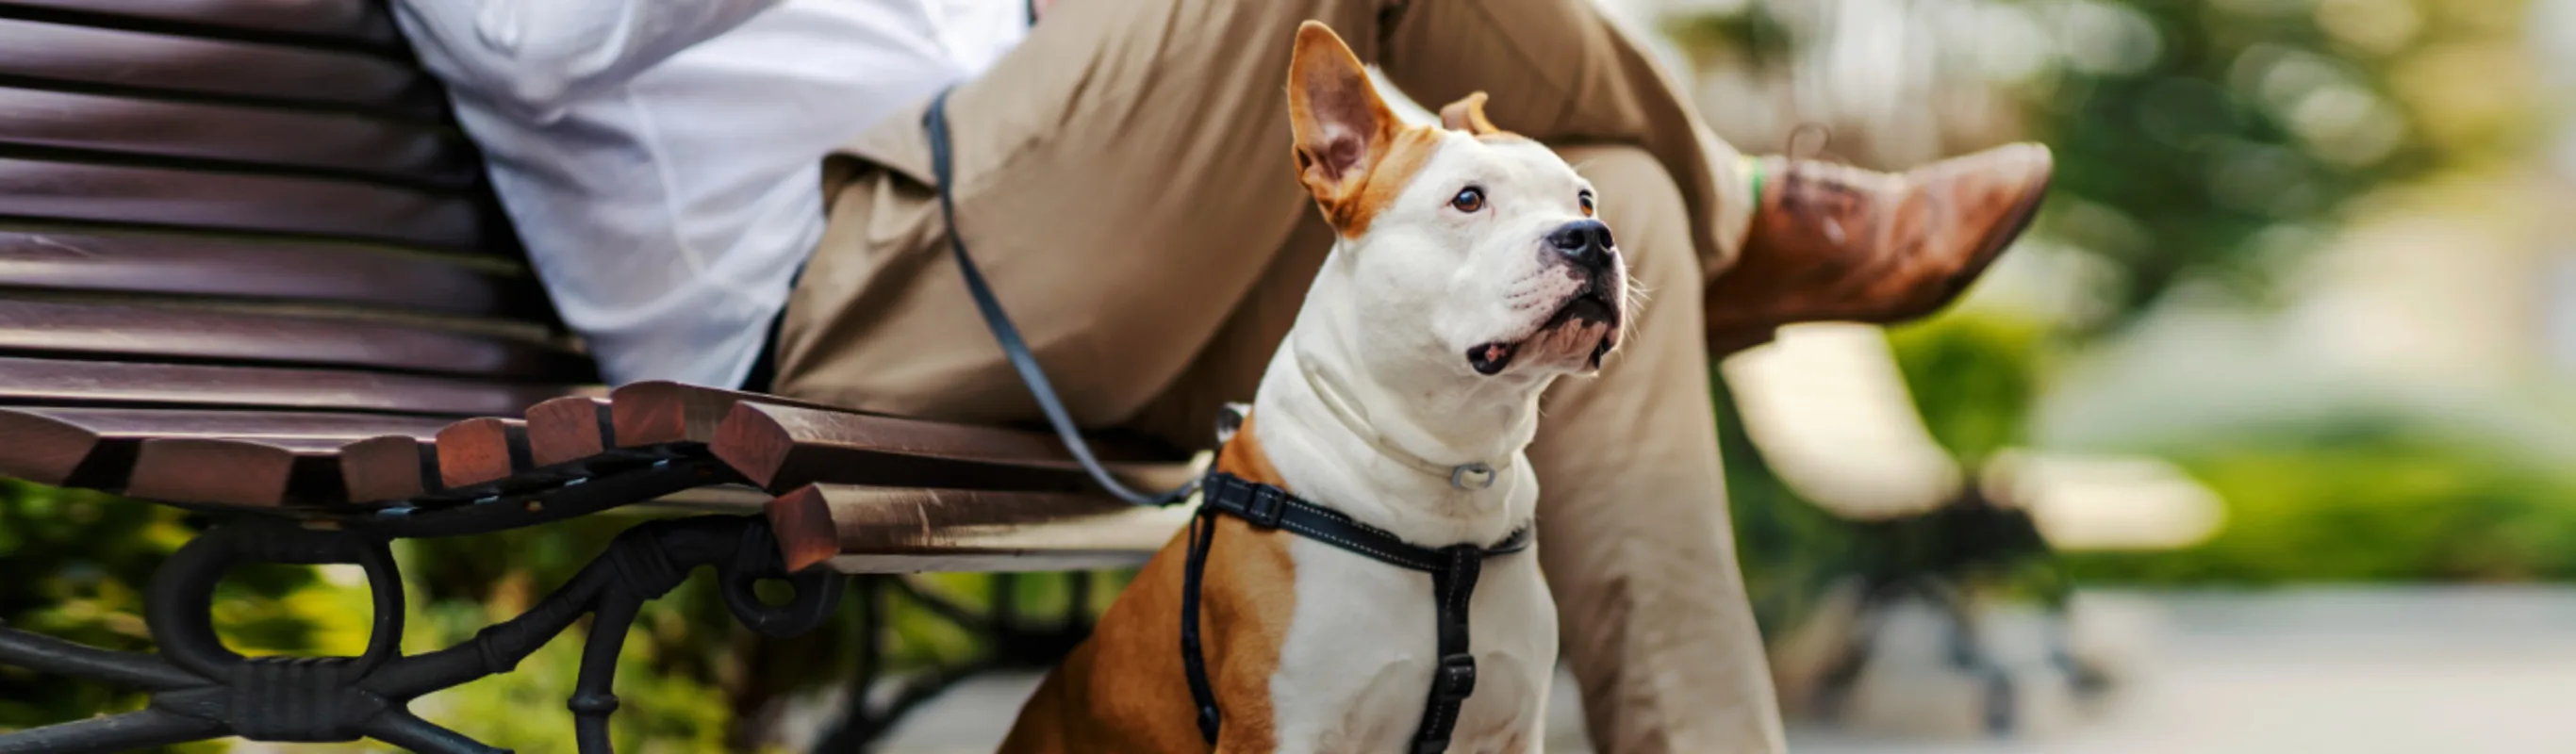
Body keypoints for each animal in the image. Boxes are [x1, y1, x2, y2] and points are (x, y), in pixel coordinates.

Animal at [1004, 23, 1627, 751]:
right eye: (1469, 199)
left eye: (1583, 199)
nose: (1591, 237)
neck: (1450, 473)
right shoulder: (1280, 728)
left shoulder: (1513, 725)